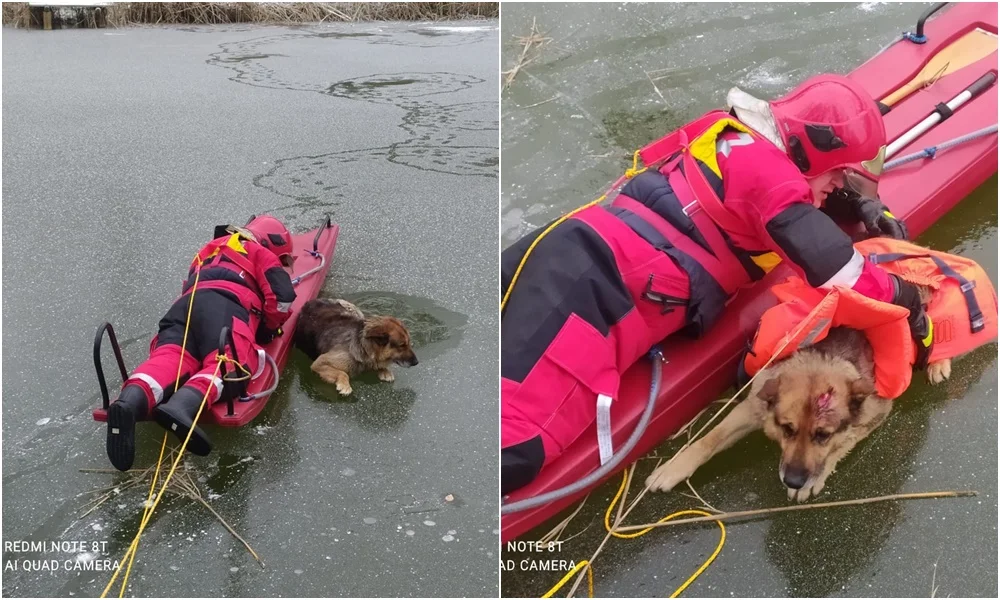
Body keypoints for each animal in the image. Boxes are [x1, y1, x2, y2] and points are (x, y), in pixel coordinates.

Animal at [644, 282, 948, 502]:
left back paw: (938, 362)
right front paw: (673, 467)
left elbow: (843, 443)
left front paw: (816, 476)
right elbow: (709, 439)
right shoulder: (752, 406)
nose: (792, 480)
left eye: (823, 435)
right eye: (787, 429)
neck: (822, 357)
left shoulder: (875, 415)